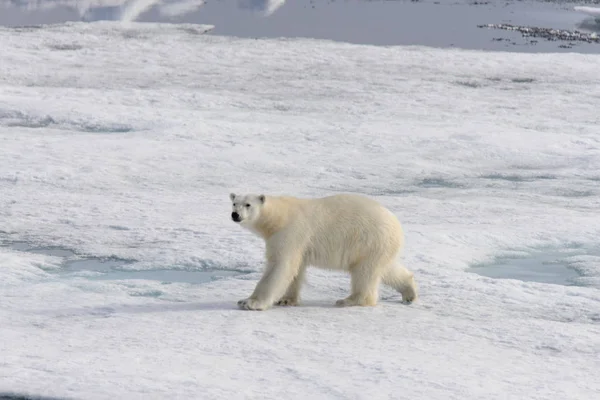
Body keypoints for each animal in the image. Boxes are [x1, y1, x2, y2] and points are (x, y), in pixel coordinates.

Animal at [230, 192, 418, 310]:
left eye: (248, 204)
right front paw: (286, 300)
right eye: (234, 203)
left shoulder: (291, 232)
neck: (279, 217)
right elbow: (295, 269)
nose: (235, 215)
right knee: (386, 269)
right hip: (379, 247)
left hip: (369, 241)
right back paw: (409, 293)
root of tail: (396, 224)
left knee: (364, 273)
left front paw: (249, 302)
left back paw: (348, 300)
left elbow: (280, 266)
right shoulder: (297, 242)